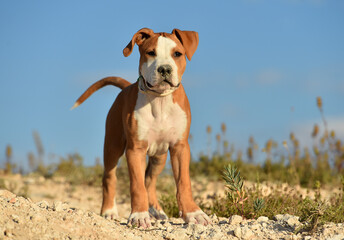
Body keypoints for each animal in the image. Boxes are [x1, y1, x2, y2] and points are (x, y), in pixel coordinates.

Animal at [72, 27, 210, 227]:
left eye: (177, 54)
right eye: (150, 53)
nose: (164, 69)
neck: (160, 100)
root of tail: (125, 87)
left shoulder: (180, 148)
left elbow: (184, 182)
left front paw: (193, 213)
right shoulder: (135, 150)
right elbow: (136, 185)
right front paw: (138, 215)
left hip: (159, 156)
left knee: (149, 180)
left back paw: (157, 210)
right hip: (112, 146)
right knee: (109, 177)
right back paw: (109, 211)